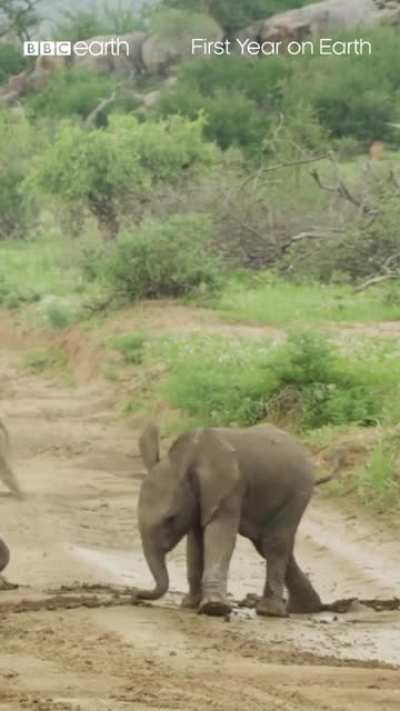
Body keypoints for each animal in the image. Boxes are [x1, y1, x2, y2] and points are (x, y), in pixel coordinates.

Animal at [135, 423, 329, 617]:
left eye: (170, 518)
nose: (136, 593)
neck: (188, 459)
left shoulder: (229, 488)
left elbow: (219, 536)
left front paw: (214, 608)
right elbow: (196, 542)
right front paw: (190, 604)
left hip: (297, 493)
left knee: (274, 544)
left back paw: (270, 612)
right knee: (265, 544)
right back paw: (305, 608)